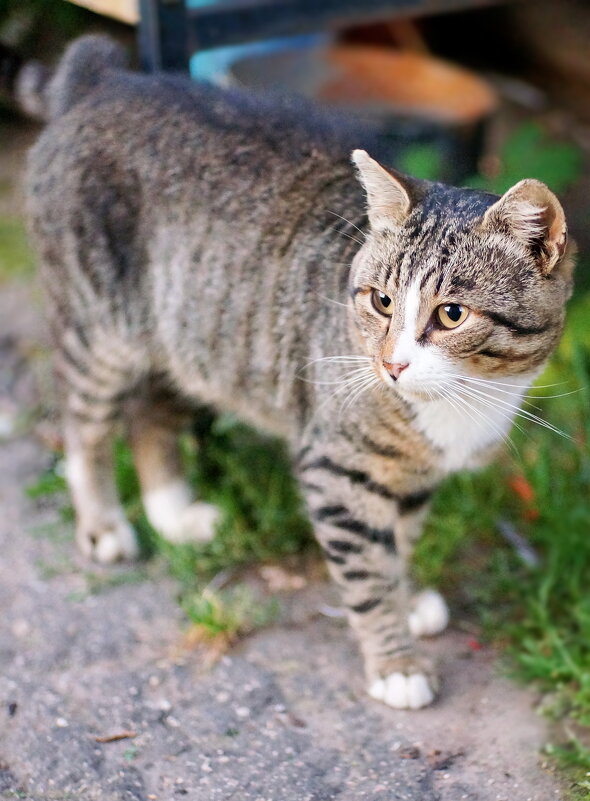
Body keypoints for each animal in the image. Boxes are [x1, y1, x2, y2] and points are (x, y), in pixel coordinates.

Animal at [20, 36, 576, 708]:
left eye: (452, 314)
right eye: (381, 302)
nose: (392, 364)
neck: (465, 401)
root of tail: (104, 82)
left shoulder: (413, 476)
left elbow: (399, 544)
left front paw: (407, 595)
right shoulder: (339, 466)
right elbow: (367, 572)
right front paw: (395, 660)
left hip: (188, 333)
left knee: (151, 414)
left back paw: (174, 514)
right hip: (99, 326)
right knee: (85, 427)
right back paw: (104, 524)